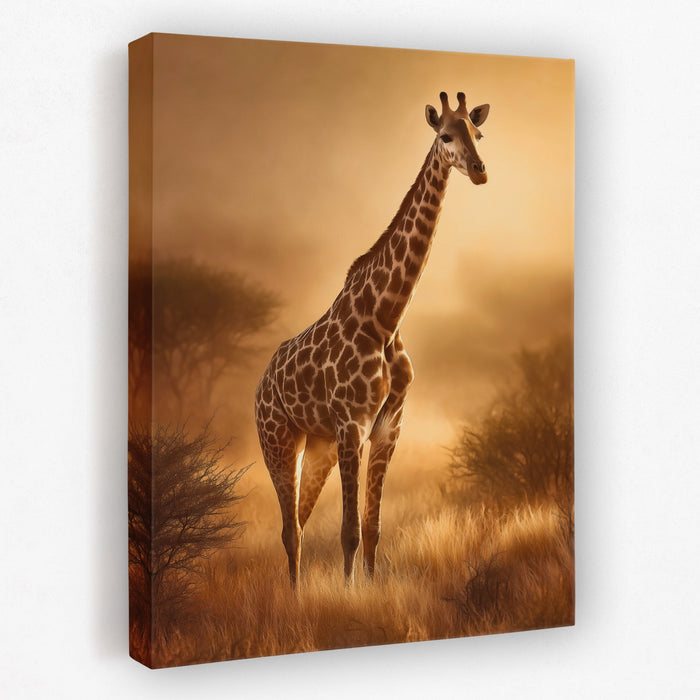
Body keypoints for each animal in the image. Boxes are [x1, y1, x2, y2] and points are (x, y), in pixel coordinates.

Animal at [255, 91, 490, 587]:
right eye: (446, 136)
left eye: (478, 133)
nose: (480, 170)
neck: (386, 318)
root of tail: (262, 382)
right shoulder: (352, 425)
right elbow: (349, 531)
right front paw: (347, 596)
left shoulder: (388, 427)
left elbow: (373, 527)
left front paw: (368, 587)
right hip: (278, 440)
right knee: (289, 530)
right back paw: (294, 598)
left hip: (317, 446)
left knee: (299, 521)